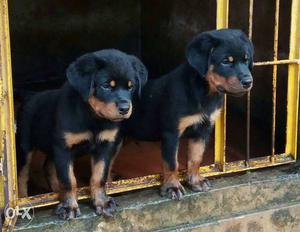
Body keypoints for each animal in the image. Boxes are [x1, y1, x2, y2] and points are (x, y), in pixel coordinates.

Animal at [16, 49, 148, 219]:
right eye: (106, 86)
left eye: (131, 87)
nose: (125, 108)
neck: (93, 117)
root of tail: (31, 95)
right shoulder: (64, 148)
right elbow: (69, 180)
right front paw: (69, 207)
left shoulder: (104, 147)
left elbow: (99, 176)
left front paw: (102, 203)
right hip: (25, 145)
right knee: (22, 175)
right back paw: (24, 204)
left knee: (48, 167)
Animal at [123, 28, 253, 199]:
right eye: (226, 61)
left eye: (246, 60)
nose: (248, 82)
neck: (205, 93)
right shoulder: (171, 132)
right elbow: (172, 163)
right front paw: (172, 187)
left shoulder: (203, 130)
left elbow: (196, 158)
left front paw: (195, 181)